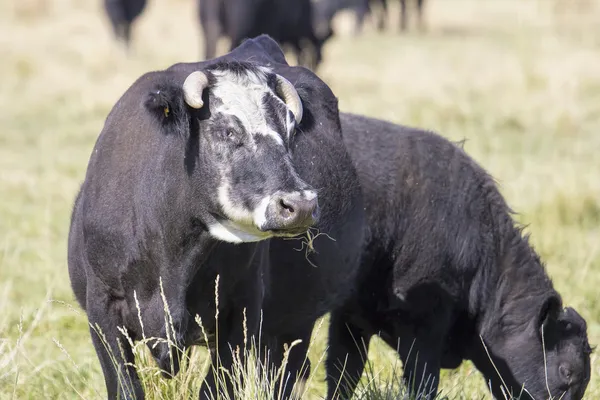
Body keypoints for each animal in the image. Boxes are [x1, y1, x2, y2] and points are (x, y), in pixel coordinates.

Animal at [67, 35, 364, 400]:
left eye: (291, 130)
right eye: (226, 131)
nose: (299, 204)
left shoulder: (241, 314)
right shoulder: (103, 311)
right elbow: (125, 387)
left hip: (295, 321)